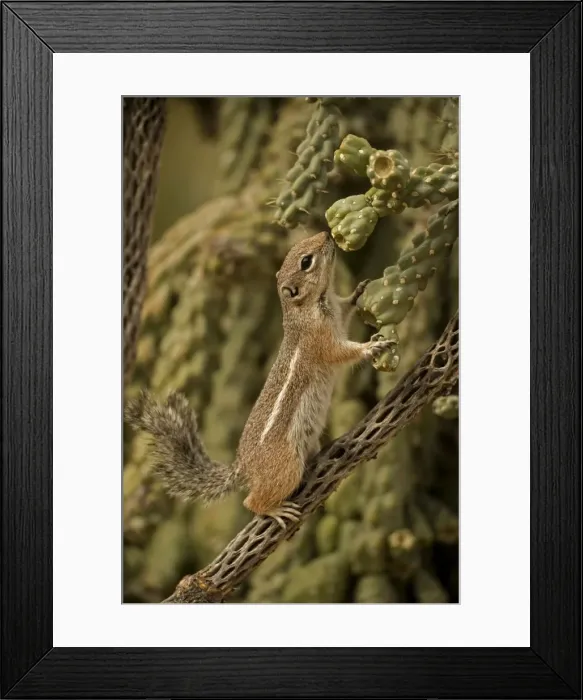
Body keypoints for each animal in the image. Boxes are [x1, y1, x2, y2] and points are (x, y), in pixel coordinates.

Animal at [125, 230, 394, 529]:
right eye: (306, 261)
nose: (326, 233)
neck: (307, 307)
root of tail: (244, 468)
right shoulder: (320, 340)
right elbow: (341, 353)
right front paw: (371, 347)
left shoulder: (337, 312)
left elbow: (347, 308)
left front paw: (359, 291)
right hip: (286, 466)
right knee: (251, 501)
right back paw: (275, 510)